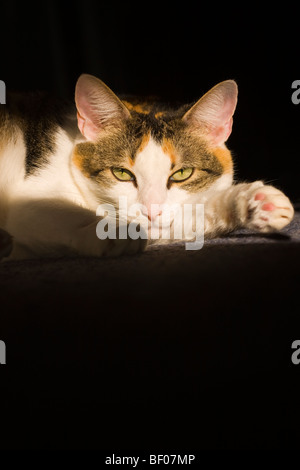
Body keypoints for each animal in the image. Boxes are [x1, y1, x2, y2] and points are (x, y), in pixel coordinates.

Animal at [0, 72, 294, 260]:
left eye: (182, 173)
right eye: (121, 173)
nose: (151, 212)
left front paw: (254, 201)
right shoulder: (31, 200)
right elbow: (47, 212)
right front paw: (114, 231)